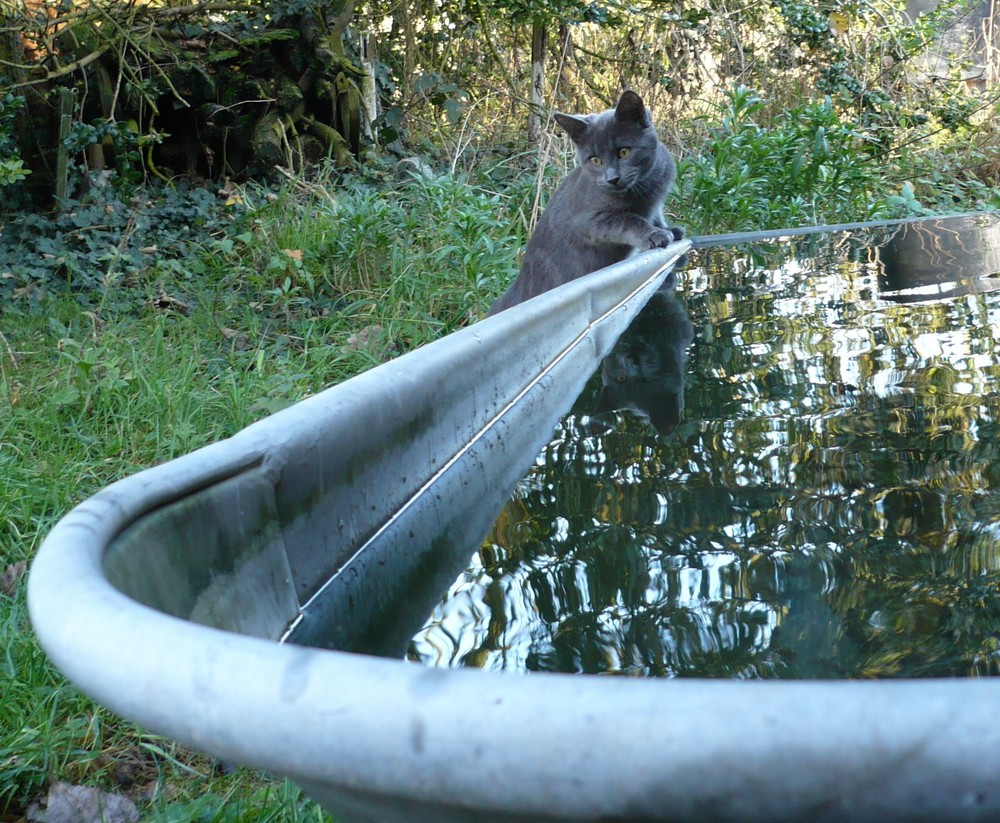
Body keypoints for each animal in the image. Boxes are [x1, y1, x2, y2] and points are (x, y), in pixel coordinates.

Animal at [488, 91, 684, 318]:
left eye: (624, 152)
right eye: (596, 160)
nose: (612, 178)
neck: (645, 186)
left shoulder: (656, 201)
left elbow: (655, 214)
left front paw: (669, 229)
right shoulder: (588, 220)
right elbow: (628, 219)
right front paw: (655, 234)